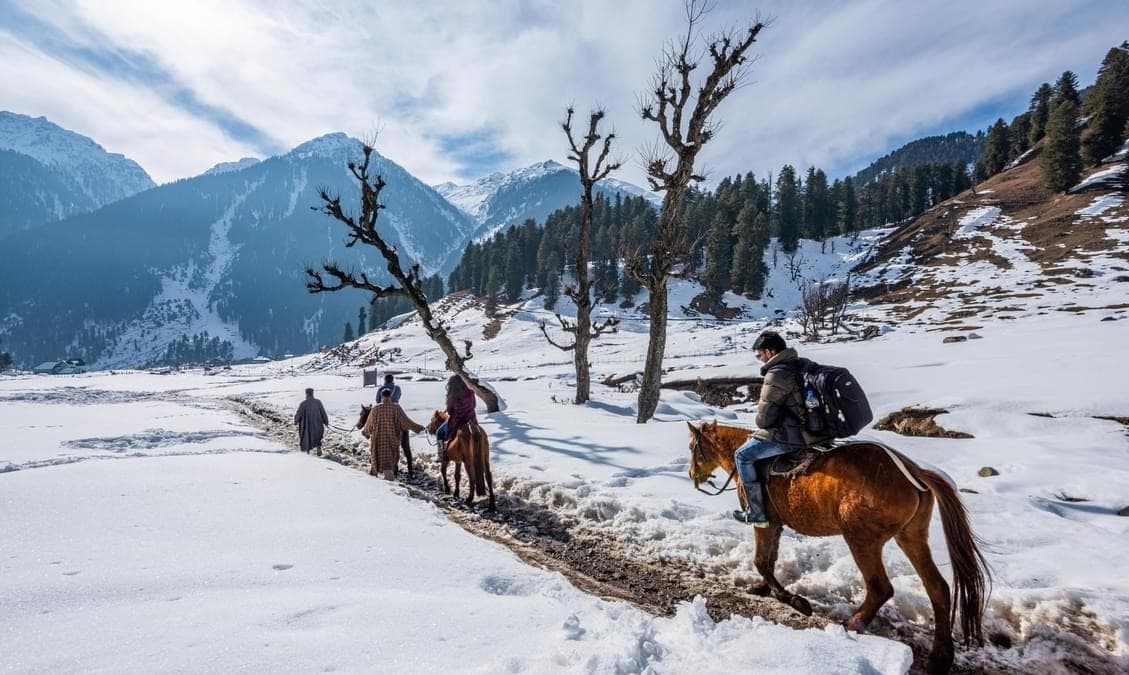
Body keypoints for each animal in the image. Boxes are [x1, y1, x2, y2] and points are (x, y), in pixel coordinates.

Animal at [687, 420, 989, 675]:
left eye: (692, 447)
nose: (692, 474)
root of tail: (914, 472)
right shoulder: (776, 525)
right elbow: (768, 559)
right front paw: (763, 589)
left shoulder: (764, 522)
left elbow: (761, 561)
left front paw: (793, 599)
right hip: (911, 537)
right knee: (938, 588)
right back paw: (941, 657)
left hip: (862, 539)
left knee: (881, 587)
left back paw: (854, 624)